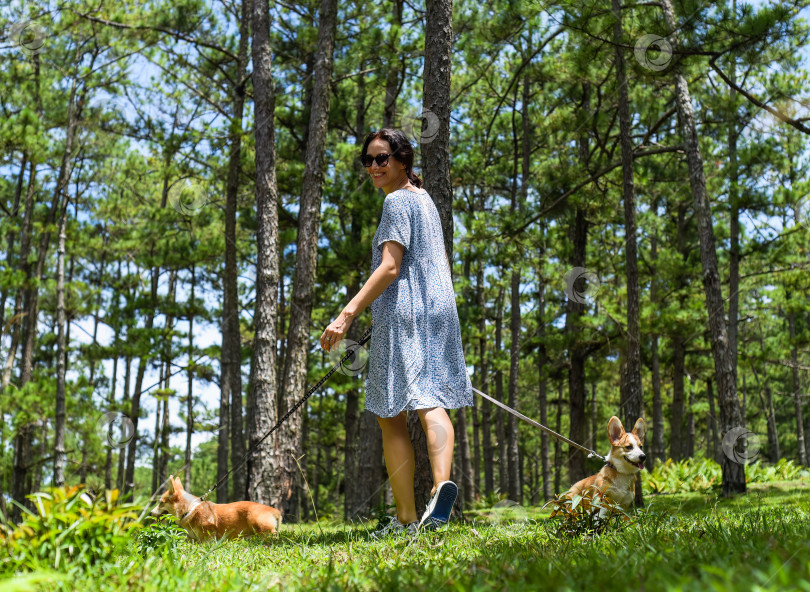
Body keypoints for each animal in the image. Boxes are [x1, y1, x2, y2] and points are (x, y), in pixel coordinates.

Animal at [150, 476, 282, 540]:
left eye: (160, 503)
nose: (150, 513)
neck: (189, 509)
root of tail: (276, 511)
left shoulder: (208, 535)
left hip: (255, 520)